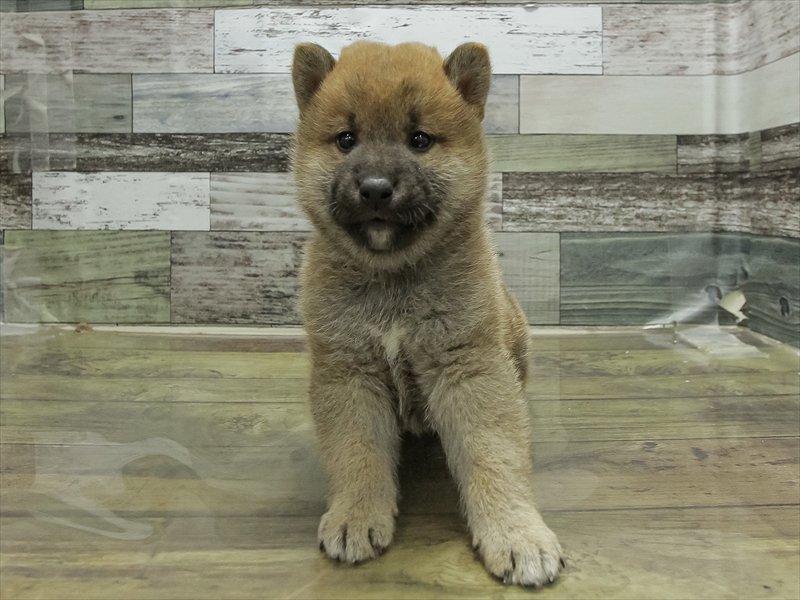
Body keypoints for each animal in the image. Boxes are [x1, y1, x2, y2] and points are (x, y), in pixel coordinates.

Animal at [291, 40, 564, 587]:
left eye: (419, 140)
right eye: (346, 139)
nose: (376, 187)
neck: (394, 277)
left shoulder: (468, 366)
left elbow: (493, 454)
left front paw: (517, 534)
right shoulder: (349, 372)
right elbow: (357, 454)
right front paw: (355, 516)